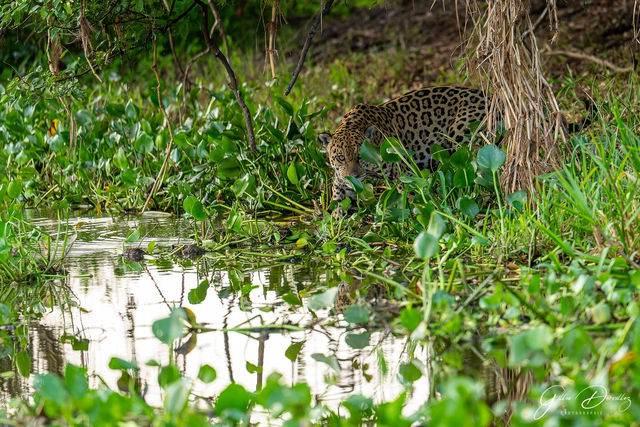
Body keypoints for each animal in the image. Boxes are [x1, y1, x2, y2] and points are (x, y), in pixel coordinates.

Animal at [318, 86, 487, 216]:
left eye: (360, 156)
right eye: (341, 158)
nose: (354, 176)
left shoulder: (403, 171)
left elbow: (412, 194)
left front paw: (420, 212)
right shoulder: (340, 180)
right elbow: (338, 199)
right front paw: (335, 220)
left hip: (461, 135)